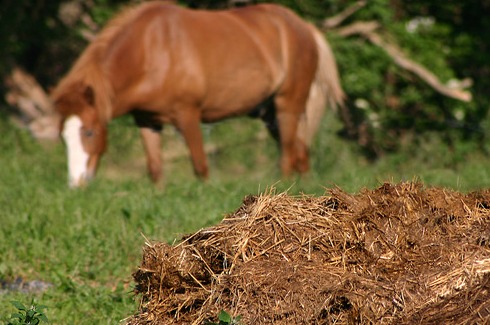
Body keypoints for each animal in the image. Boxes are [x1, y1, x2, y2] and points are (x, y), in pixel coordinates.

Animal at [51, 1, 342, 187]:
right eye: (63, 137)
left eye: (89, 132)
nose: (76, 183)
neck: (151, 51)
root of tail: (305, 27)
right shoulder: (147, 121)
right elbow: (155, 169)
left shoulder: (188, 115)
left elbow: (201, 167)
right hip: (270, 114)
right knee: (300, 151)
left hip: (287, 105)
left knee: (288, 154)